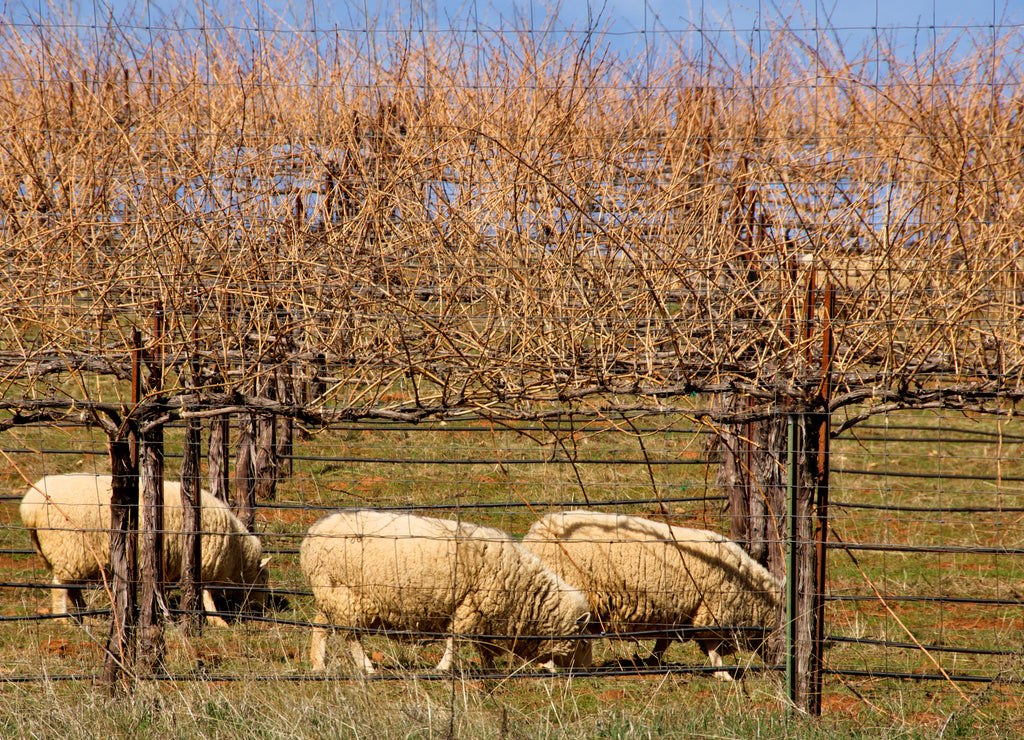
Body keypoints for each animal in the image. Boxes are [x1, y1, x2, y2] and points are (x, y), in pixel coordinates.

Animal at [19, 474, 270, 626]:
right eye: (264, 579)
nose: (265, 607)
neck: (238, 554)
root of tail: (29, 507)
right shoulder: (204, 566)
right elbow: (207, 596)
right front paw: (219, 621)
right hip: (67, 547)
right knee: (60, 587)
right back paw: (62, 619)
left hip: (74, 555)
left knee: (72, 587)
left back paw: (85, 615)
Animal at [299, 511, 593, 675]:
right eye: (584, 643)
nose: (586, 671)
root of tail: (312, 533)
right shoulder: (470, 607)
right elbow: (456, 641)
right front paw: (442, 668)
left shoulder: (484, 616)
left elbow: (481, 647)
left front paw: (489, 669)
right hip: (344, 595)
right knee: (351, 637)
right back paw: (367, 668)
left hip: (329, 593)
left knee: (319, 626)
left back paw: (318, 664)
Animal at [524, 511, 778, 679]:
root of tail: (535, 533)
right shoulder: (710, 613)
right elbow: (713, 649)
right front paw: (723, 675)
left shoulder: (678, 614)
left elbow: (663, 642)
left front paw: (653, 662)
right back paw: (548, 667)